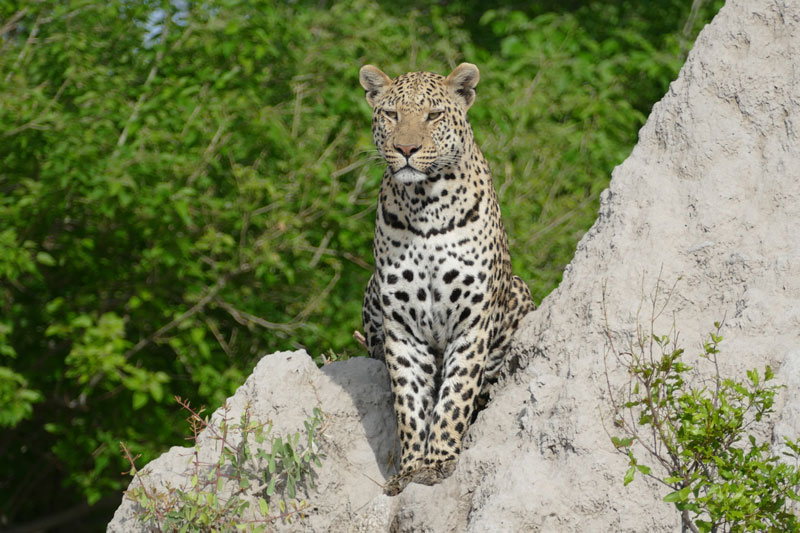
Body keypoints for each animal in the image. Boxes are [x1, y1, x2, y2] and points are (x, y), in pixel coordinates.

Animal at [359, 63, 535, 496]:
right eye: (391, 114)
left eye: (434, 115)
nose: (406, 149)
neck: (424, 203)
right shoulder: (401, 328)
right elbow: (408, 403)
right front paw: (409, 468)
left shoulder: (471, 322)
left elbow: (456, 394)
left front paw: (438, 461)